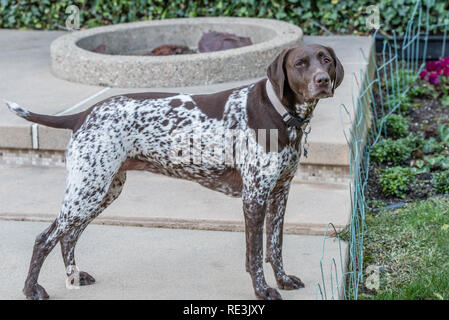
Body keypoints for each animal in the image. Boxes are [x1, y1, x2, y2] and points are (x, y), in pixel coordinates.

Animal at [5, 44, 344, 300]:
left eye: (325, 60)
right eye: (300, 63)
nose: (322, 80)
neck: (281, 112)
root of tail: (83, 114)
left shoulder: (280, 193)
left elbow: (275, 246)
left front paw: (283, 280)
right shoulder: (254, 197)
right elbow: (256, 253)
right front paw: (262, 290)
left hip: (102, 191)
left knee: (68, 236)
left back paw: (74, 276)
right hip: (87, 191)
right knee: (45, 238)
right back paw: (31, 289)